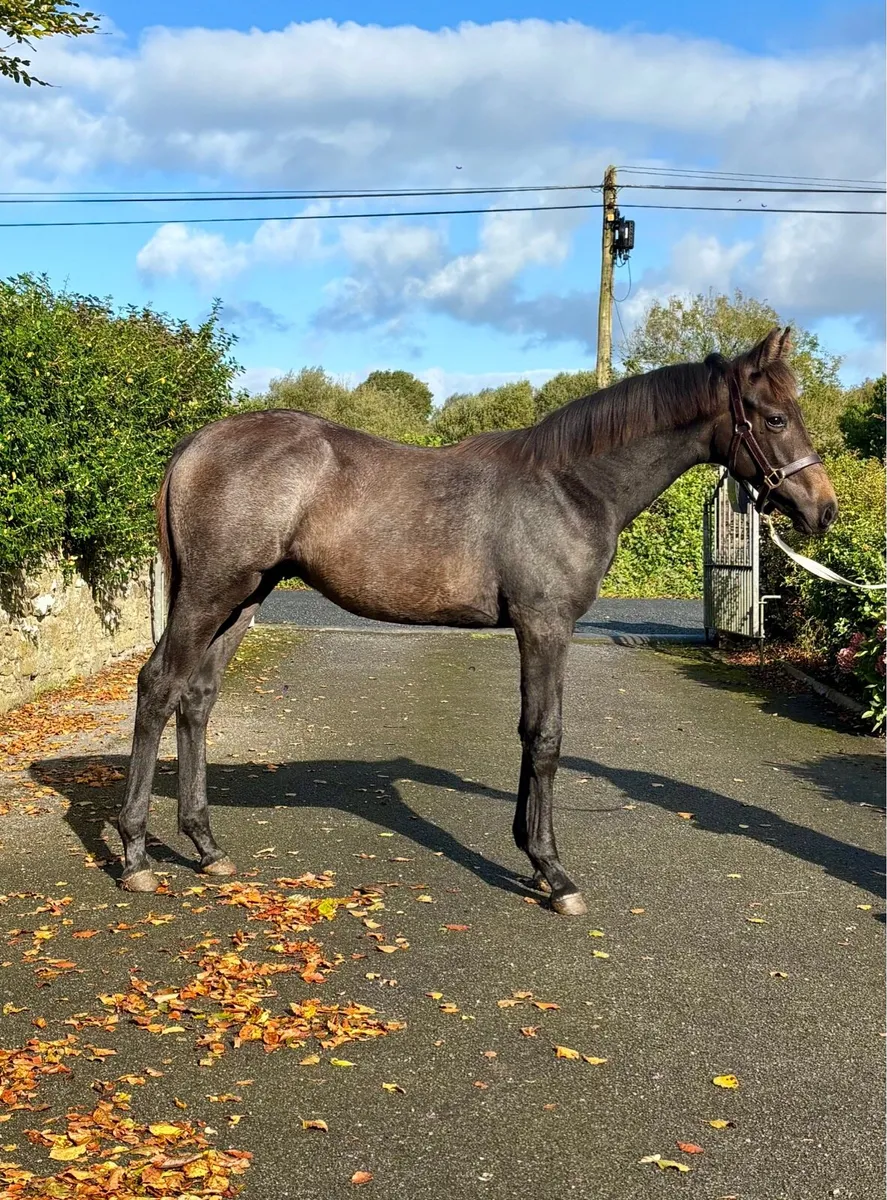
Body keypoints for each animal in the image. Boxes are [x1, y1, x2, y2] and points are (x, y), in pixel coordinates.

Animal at [117, 327, 837, 915]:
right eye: (775, 417)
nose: (823, 510)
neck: (569, 485)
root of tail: (196, 444)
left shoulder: (534, 630)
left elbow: (528, 733)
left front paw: (532, 856)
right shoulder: (545, 626)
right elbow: (545, 738)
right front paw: (554, 873)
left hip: (244, 599)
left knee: (197, 699)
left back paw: (207, 847)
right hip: (210, 593)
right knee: (158, 687)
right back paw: (135, 856)